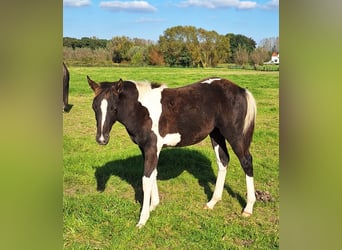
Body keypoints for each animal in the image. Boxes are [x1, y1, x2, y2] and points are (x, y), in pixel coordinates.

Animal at [88, 76, 256, 229]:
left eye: (113, 108)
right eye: (94, 107)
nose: (102, 139)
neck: (141, 109)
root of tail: (240, 90)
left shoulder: (152, 147)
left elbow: (146, 179)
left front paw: (143, 219)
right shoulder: (146, 148)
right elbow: (153, 174)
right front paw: (154, 205)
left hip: (234, 135)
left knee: (246, 161)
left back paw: (248, 208)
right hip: (216, 134)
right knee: (223, 160)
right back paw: (212, 202)